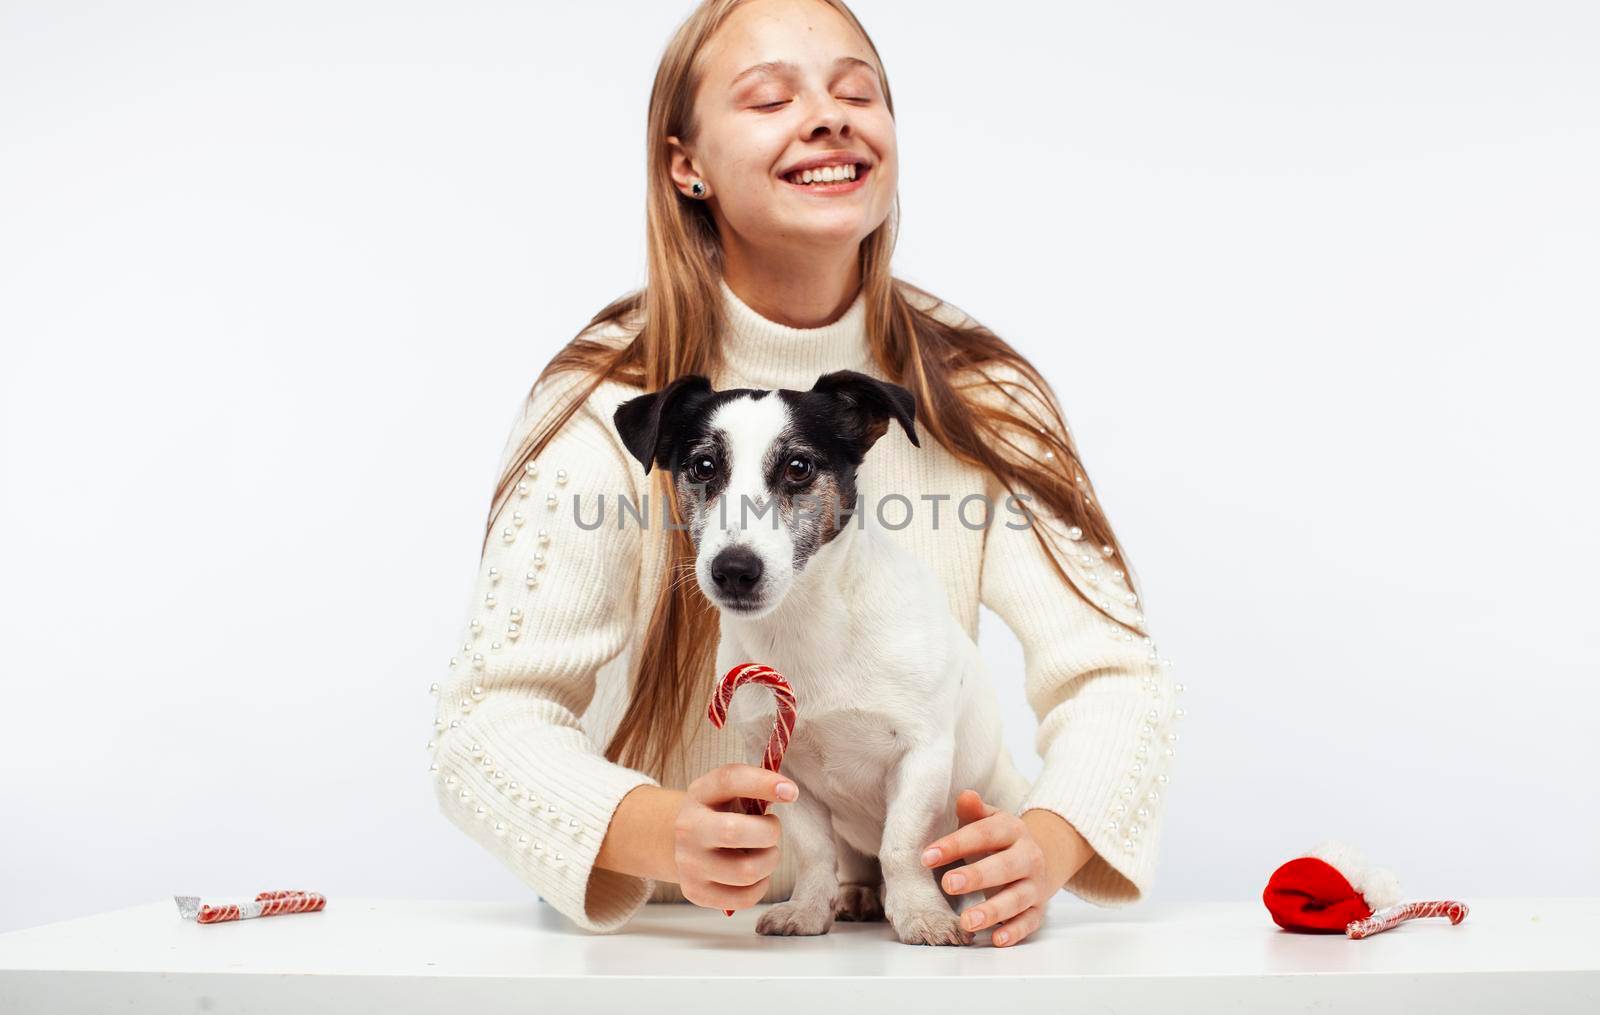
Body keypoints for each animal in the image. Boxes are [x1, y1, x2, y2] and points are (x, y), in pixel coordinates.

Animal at [611, 365, 1024, 941]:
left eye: (798, 467)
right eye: (703, 466)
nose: (734, 569)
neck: (805, 625)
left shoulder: (923, 755)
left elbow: (903, 847)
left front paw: (922, 913)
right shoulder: (780, 767)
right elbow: (814, 850)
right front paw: (808, 909)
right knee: (855, 861)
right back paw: (856, 895)